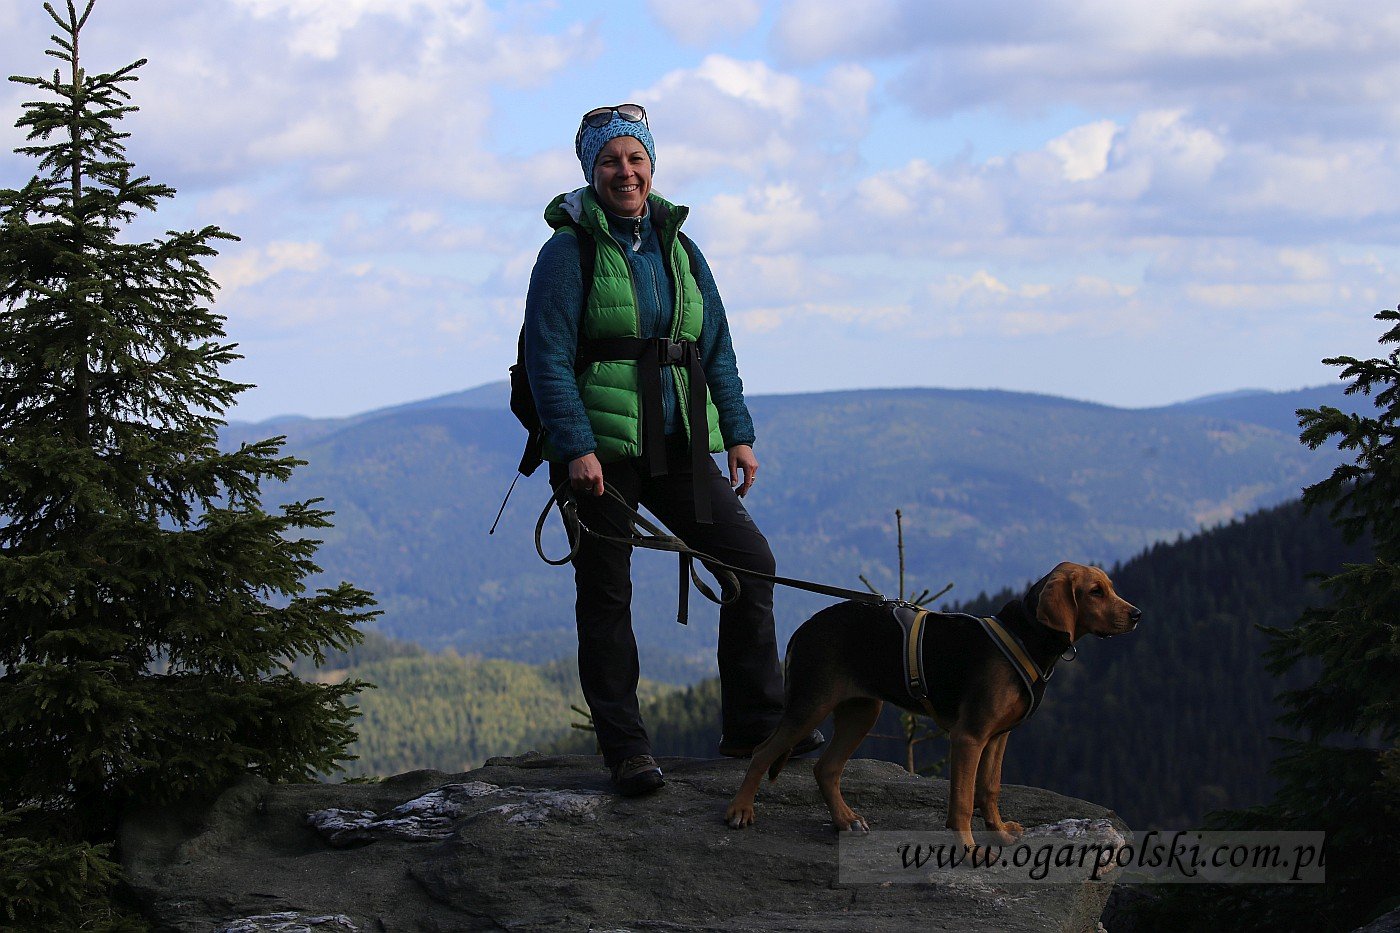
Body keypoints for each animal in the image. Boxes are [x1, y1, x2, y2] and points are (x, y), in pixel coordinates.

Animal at [728, 554, 1142, 846]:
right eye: (1095, 591)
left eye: (1110, 587)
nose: (1138, 615)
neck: (1025, 636)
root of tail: (802, 629)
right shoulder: (969, 737)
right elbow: (962, 800)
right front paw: (969, 849)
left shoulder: (997, 737)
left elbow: (988, 788)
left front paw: (999, 832)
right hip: (810, 706)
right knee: (763, 753)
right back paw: (740, 810)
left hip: (862, 711)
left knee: (825, 769)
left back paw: (845, 820)